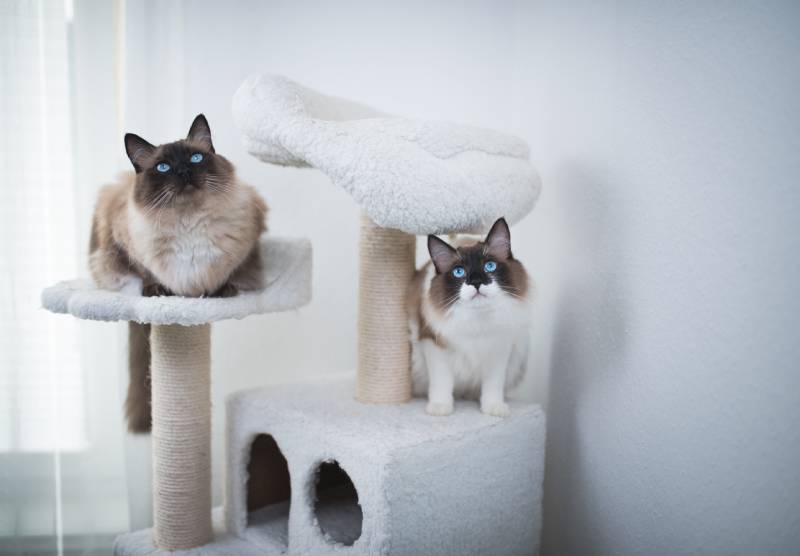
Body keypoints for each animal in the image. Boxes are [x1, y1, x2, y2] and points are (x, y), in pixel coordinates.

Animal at [89, 114, 268, 434]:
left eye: (196, 158)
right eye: (163, 167)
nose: (184, 171)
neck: (189, 224)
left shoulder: (246, 245)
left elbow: (226, 275)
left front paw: (221, 291)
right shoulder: (126, 245)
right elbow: (147, 274)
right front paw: (158, 291)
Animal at [406, 217, 532, 416]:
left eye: (489, 266)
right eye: (459, 272)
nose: (476, 282)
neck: (477, 323)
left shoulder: (499, 349)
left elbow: (493, 386)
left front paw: (493, 408)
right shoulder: (434, 345)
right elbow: (442, 383)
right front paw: (440, 408)